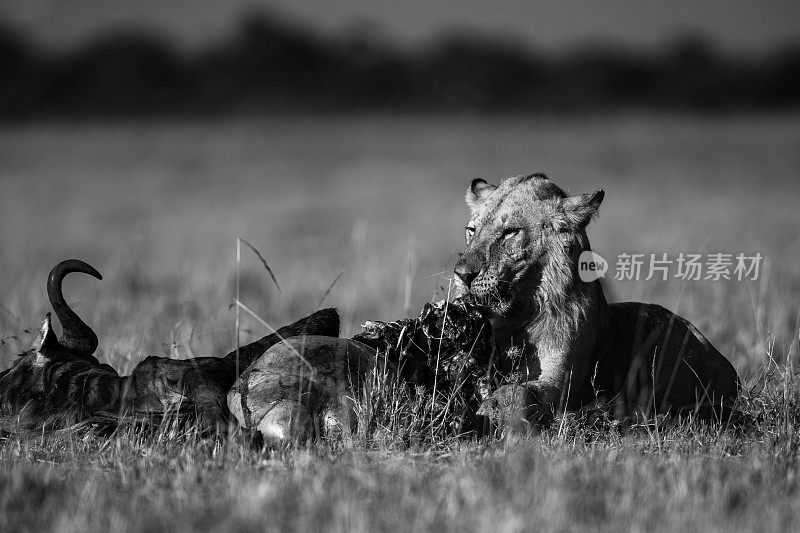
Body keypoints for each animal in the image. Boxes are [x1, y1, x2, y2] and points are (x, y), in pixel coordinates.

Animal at [454, 174, 740, 432]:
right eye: (472, 230)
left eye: (510, 232)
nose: (462, 274)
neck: (517, 313)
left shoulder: (561, 379)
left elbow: (518, 391)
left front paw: (487, 410)